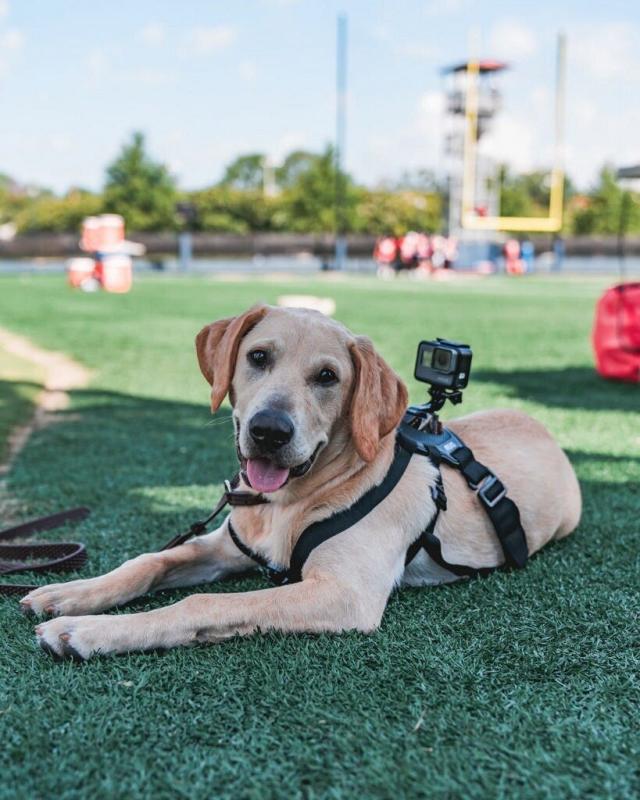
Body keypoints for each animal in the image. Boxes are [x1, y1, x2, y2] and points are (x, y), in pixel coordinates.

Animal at [22, 304, 580, 660]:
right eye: (258, 357)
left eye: (328, 377)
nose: (269, 432)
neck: (286, 504)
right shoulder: (225, 544)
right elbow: (147, 562)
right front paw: (70, 594)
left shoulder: (344, 592)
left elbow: (202, 602)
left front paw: (85, 632)